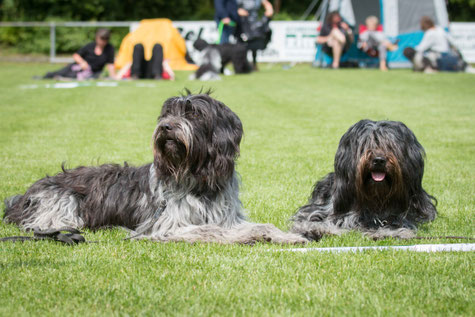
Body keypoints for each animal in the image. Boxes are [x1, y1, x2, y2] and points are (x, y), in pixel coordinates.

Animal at [2, 92, 304, 244]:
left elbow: (256, 224)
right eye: (167, 114)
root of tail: (23, 196)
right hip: (61, 209)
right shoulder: (167, 225)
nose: (166, 127)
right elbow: (213, 230)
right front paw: (248, 237)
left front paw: (285, 235)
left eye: (193, 113)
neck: (198, 178)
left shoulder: (226, 215)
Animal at [294, 119, 438, 238]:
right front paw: (314, 229)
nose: (379, 160)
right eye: (365, 144)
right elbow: (310, 218)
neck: (375, 198)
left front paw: (386, 233)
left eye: (391, 146)